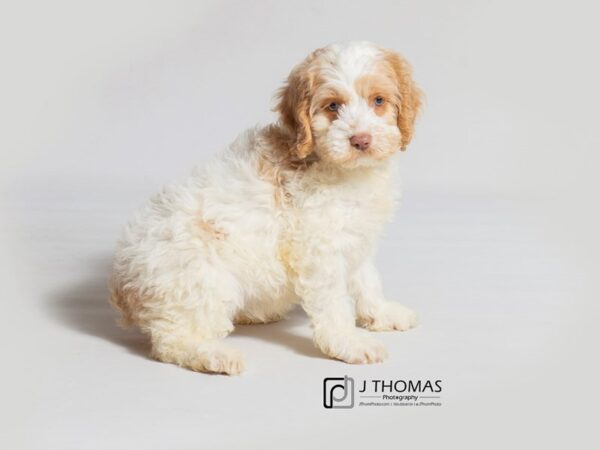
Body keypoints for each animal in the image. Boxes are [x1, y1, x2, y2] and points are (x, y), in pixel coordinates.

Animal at [110, 41, 424, 372]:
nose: (361, 140)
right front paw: (348, 341)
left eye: (378, 100)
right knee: (171, 341)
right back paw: (214, 355)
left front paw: (383, 313)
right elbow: (334, 302)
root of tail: (124, 283)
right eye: (333, 106)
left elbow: (368, 281)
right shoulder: (318, 249)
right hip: (201, 281)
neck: (350, 172)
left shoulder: (357, 239)